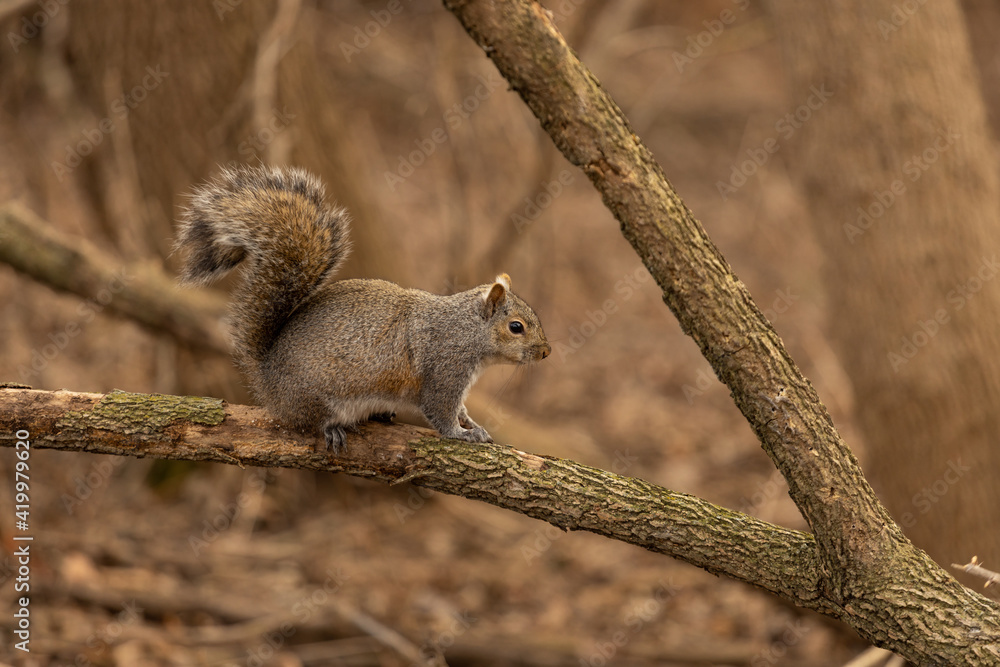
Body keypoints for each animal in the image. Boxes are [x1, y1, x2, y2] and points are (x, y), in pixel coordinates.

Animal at [174, 165, 551, 452]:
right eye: (516, 327)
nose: (546, 352)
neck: (464, 329)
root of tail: (267, 378)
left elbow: (460, 408)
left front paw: (472, 422)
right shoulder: (443, 371)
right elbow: (441, 412)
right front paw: (463, 434)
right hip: (315, 398)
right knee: (308, 422)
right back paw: (331, 428)